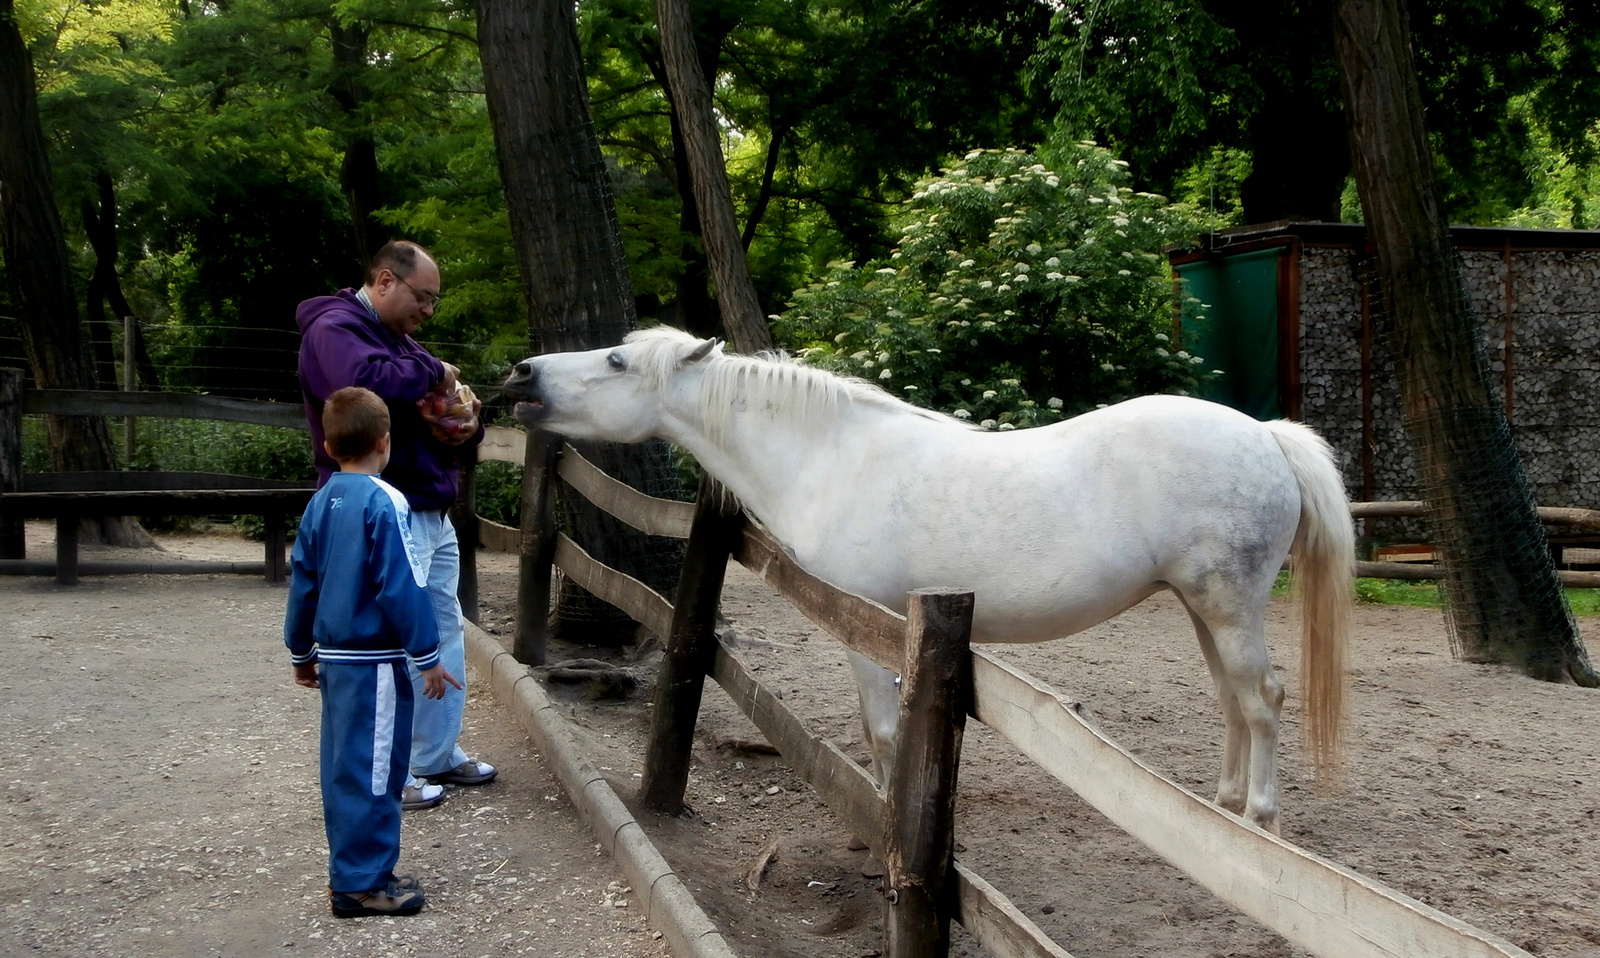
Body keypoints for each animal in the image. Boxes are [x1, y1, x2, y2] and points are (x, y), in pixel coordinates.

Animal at [502, 327, 1350, 831]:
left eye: (616, 361)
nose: (521, 372)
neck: (833, 457)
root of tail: (1265, 436)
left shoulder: (867, 624)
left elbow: (882, 729)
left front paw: (881, 817)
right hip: (1204, 608)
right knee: (1234, 703)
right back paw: (1227, 816)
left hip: (1228, 607)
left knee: (1262, 702)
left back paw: (1260, 823)